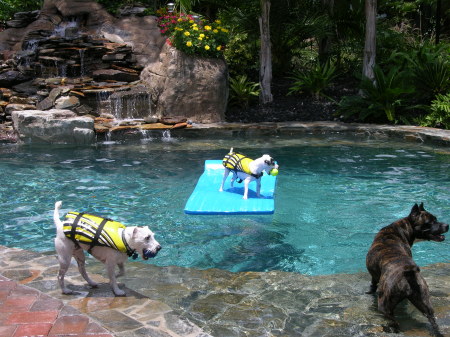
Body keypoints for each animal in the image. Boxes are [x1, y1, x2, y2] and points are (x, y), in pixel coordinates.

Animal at [368, 201, 448, 334]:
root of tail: (409, 273)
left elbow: (372, 285)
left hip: (384, 305)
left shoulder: (374, 276)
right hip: (425, 301)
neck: (399, 230)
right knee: (432, 320)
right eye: (430, 222)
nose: (447, 225)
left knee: (394, 321)